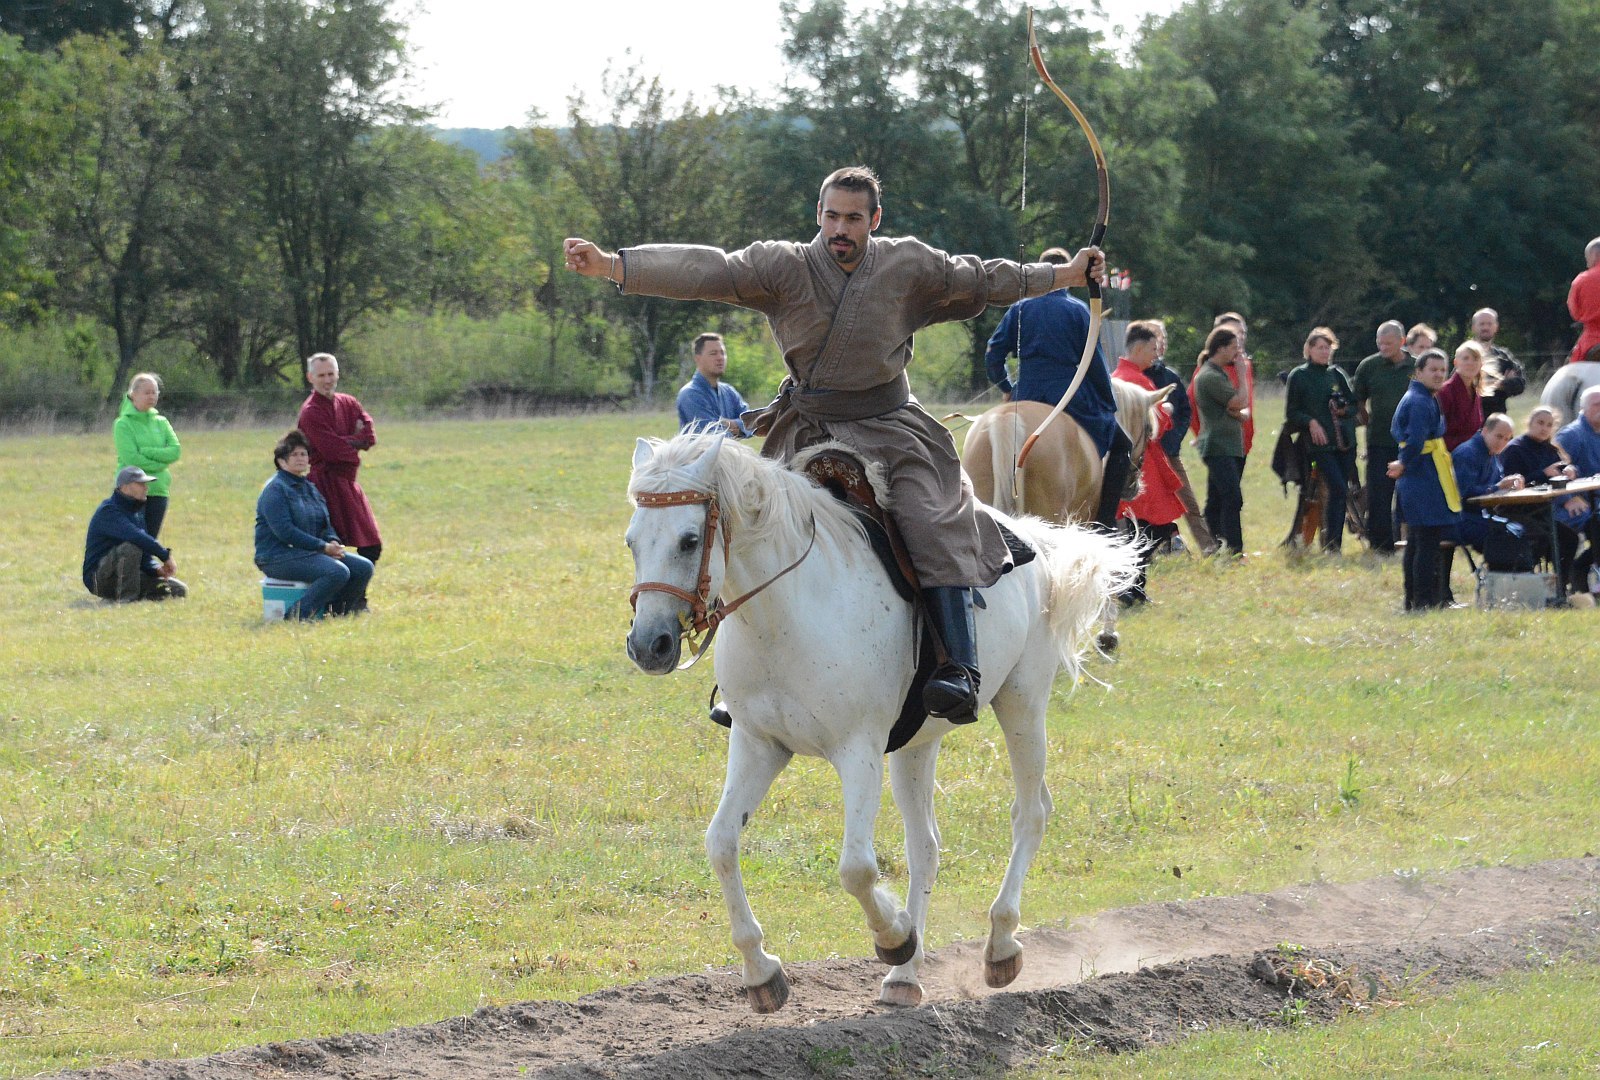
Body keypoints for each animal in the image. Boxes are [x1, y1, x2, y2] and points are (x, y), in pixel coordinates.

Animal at [624, 432, 1139, 1011]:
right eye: (632, 542)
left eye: (689, 540)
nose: (648, 645)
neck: (786, 613)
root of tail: (1031, 539)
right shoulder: (759, 744)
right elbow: (721, 844)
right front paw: (761, 971)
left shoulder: (859, 751)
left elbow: (856, 868)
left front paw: (893, 935)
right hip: (917, 744)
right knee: (926, 848)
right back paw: (905, 977)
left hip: (1022, 705)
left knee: (1030, 813)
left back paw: (999, 944)